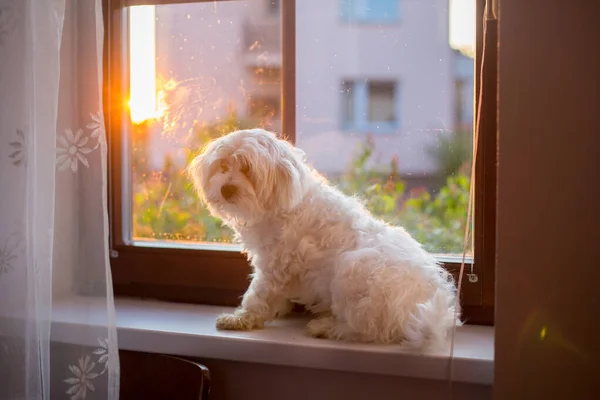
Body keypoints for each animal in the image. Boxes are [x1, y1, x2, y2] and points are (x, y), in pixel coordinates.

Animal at [190, 130, 462, 352]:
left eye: (247, 169)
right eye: (223, 165)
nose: (226, 189)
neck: (284, 202)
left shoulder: (273, 266)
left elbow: (257, 296)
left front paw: (240, 319)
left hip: (353, 267)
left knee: (369, 330)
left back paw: (325, 327)